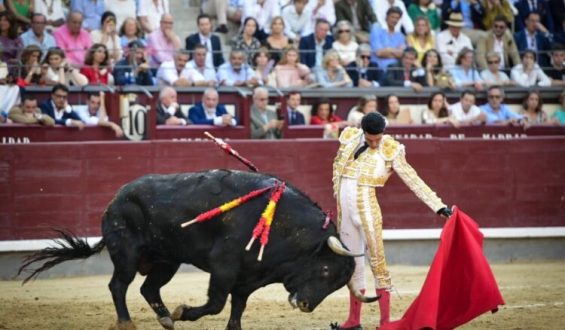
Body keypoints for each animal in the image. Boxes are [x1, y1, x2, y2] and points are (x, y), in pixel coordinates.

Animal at [18, 170, 378, 330]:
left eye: (336, 284)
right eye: (325, 269)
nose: (305, 305)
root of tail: (116, 198)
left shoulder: (249, 277)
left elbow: (236, 309)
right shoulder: (223, 266)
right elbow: (217, 303)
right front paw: (185, 311)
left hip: (166, 261)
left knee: (149, 288)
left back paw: (166, 319)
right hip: (128, 253)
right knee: (118, 285)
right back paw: (128, 322)